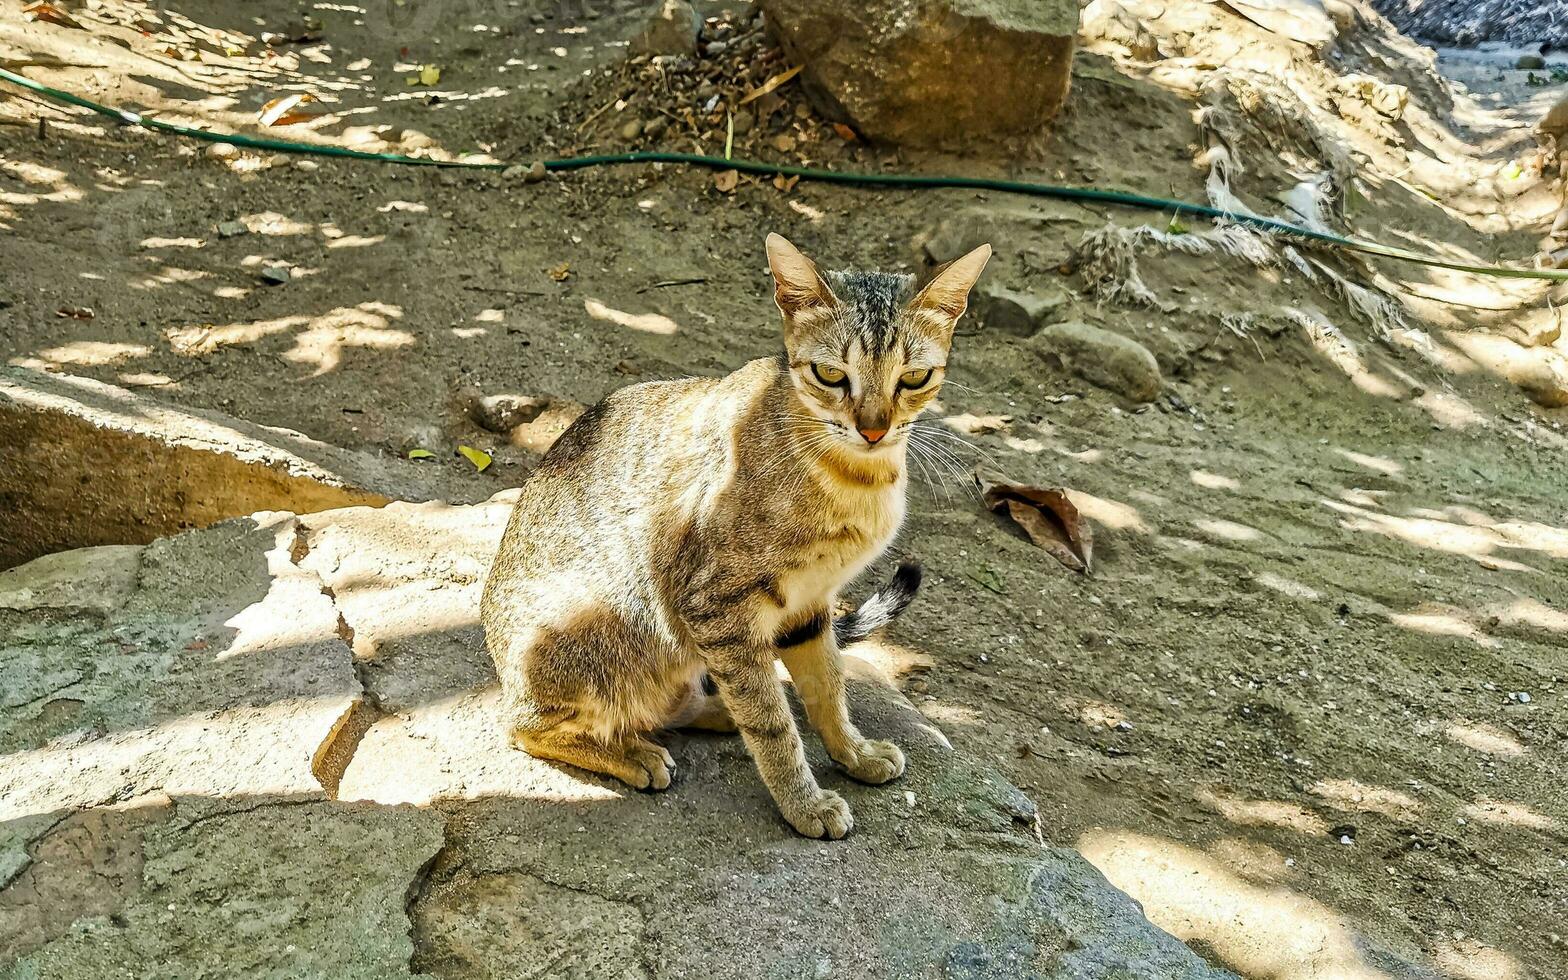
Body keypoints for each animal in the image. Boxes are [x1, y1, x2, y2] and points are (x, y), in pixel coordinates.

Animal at [479, 233, 990, 834]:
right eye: (831, 375)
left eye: (913, 378)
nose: (873, 429)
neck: (858, 481)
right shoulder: (717, 606)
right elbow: (773, 728)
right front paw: (804, 803)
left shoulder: (808, 603)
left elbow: (827, 688)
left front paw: (854, 752)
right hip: (586, 630)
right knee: (525, 726)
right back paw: (633, 753)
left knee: (690, 697)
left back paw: (713, 708)